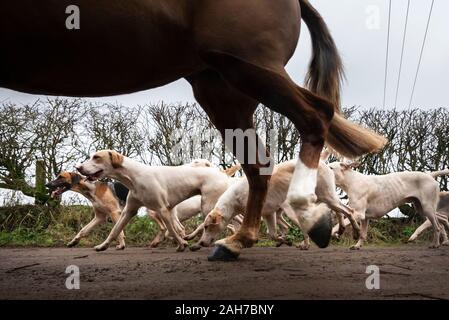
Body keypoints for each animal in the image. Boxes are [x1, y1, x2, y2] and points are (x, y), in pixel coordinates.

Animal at [0, 0, 384, 260]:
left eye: (94, 157)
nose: (79, 169)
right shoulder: (128, 210)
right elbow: (110, 229)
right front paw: (101, 243)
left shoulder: (159, 208)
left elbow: (170, 227)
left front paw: (178, 242)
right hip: (223, 88)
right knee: (259, 164)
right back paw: (241, 239)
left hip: (249, 66)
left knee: (317, 115)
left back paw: (305, 218)